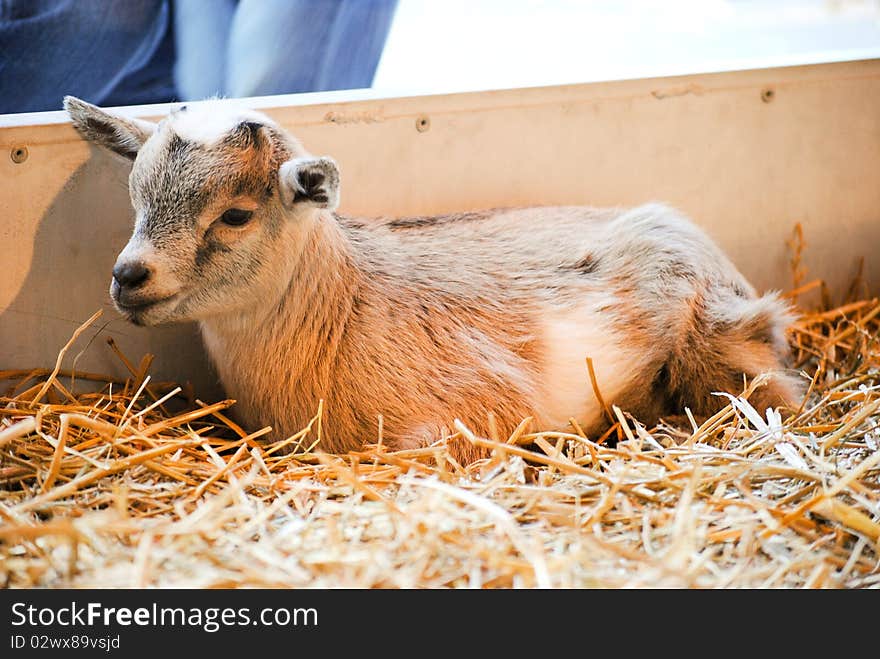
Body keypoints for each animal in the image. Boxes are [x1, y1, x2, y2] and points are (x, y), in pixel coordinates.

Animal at [65, 96, 800, 464]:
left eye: (237, 214)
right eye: (135, 194)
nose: (128, 277)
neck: (340, 307)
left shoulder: (469, 412)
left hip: (719, 344)